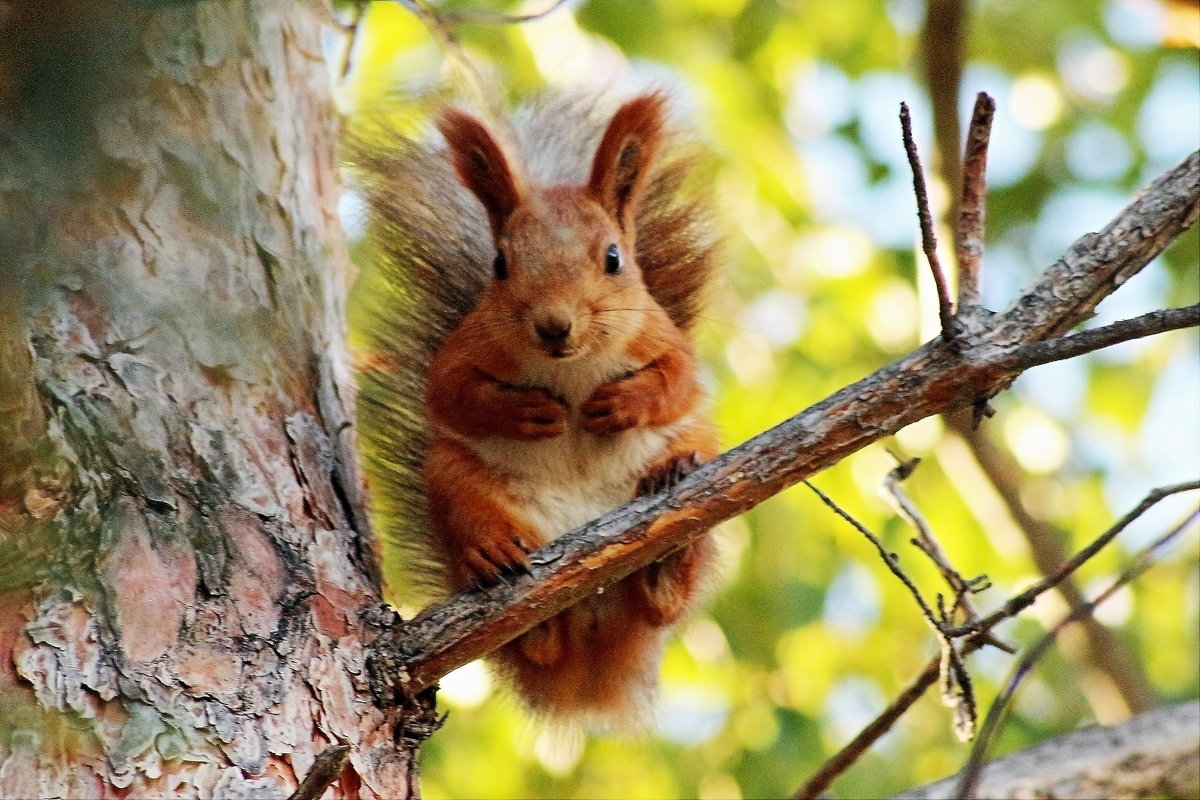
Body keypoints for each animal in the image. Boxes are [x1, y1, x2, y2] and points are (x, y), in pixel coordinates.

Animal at [350, 90, 720, 729]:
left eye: (614, 258)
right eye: (500, 264)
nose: (554, 325)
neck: (569, 368)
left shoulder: (663, 338)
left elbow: (675, 382)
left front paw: (620, 403)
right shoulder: (464, 351)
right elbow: (451, 393)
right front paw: (527, 412)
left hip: (696, 444)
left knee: (664, 604)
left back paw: (671, 529)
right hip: (453, 479)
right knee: (535, 636)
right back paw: (492, 557)